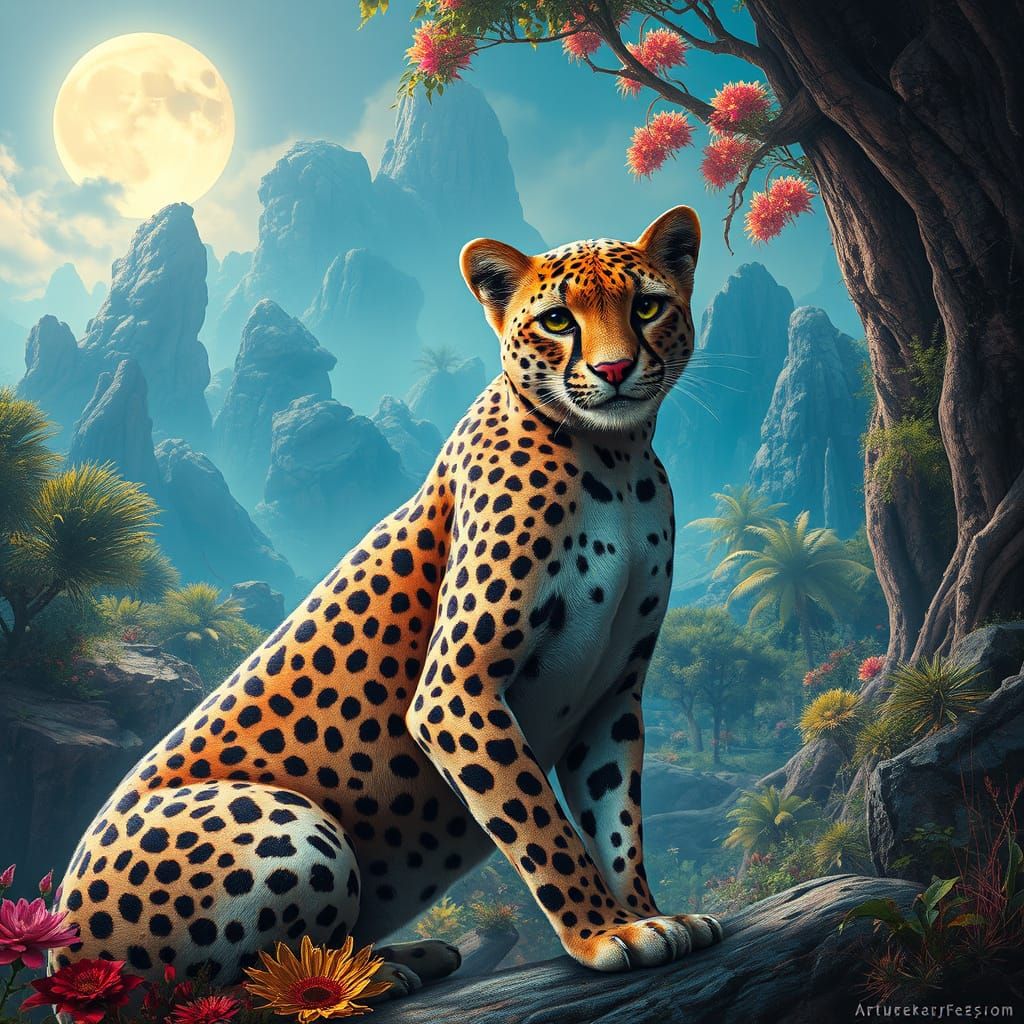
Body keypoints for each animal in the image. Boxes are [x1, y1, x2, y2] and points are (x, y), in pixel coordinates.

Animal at [51, 205, 722, 1000]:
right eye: (558, 320)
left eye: (646, 306)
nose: (614, 370)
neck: (616, 461)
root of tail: (61, 955)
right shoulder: (457, 688)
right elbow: (542, 828)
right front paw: (603, 933)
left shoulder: (613, 694)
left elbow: (616, 825)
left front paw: (649, 915)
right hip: (292, 827)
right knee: (212, 993)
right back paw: (351, 981)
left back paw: (395, 960)